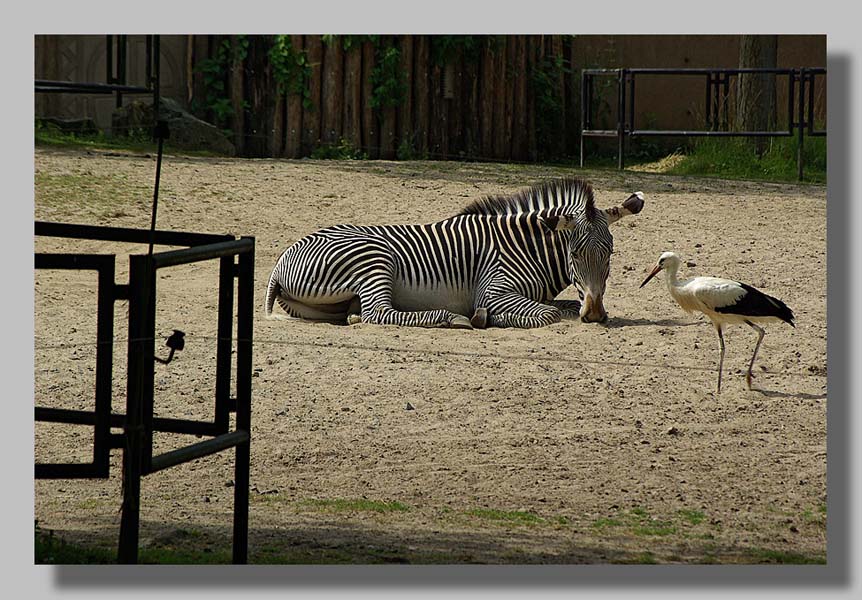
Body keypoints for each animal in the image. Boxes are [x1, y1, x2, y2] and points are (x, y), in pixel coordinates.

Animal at [266, 176, 644, 330]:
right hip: (376, 258)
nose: (594, 315)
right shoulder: (493, 290)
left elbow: (560, 306)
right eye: (575, 254)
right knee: (379, 313)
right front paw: (484, 318)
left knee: (361, 313)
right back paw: (451, 319)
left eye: (611, 254)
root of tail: (284, 258)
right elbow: (547, 314)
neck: (525, 247)